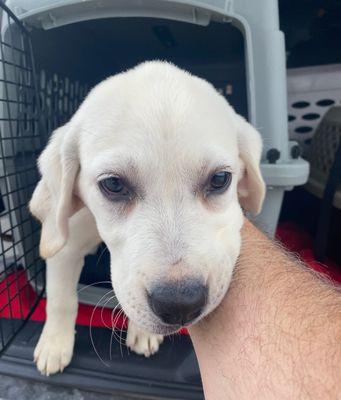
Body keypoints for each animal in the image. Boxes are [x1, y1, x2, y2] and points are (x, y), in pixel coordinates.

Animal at [29, 61, 264, 376]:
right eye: (113, 184)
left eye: (220, 179)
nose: (180, 304)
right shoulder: (66, 244)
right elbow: (60, 298)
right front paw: (54, 344)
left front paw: (143, 332)